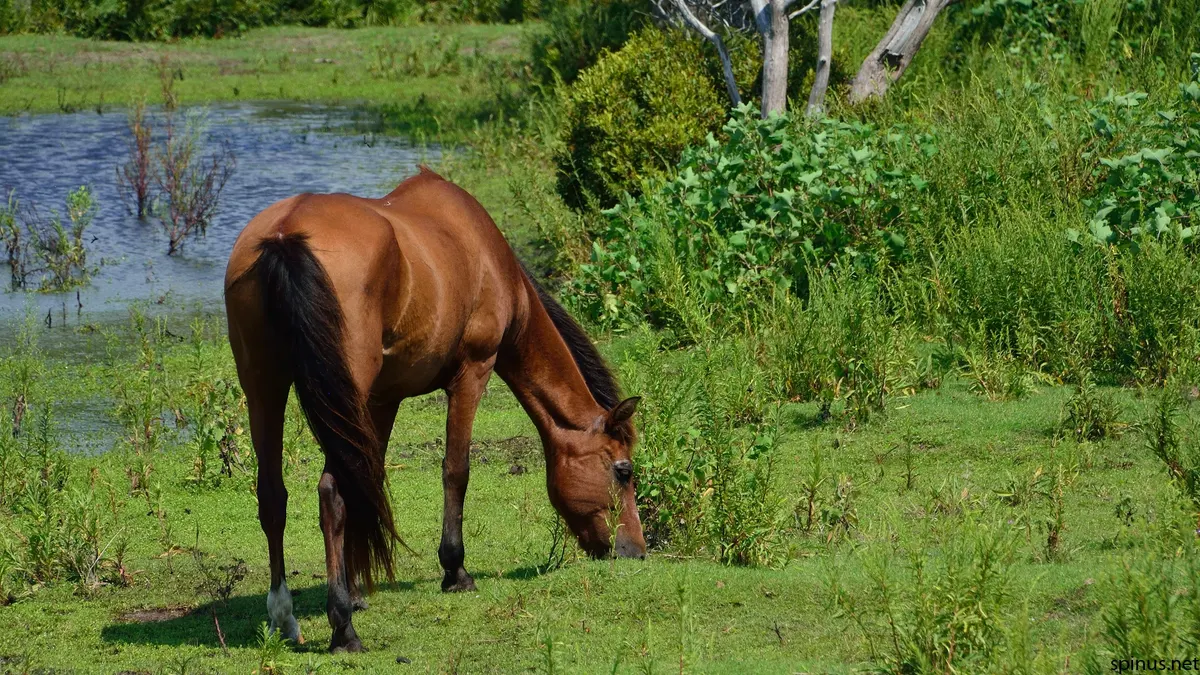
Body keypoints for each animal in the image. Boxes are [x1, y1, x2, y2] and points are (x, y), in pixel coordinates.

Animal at [223, 167, 647, 652]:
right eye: (623, 471)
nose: (636, 550)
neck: (484, 254)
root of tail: (284, 234)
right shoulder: (473, 372)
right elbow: (455, 471)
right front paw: (455, 570)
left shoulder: (381, 399)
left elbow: (368, 479)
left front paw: (358, 586)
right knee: (330, 491)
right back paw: (342, 628)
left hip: (265, 387)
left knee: (274, 495)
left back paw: (283, 616)